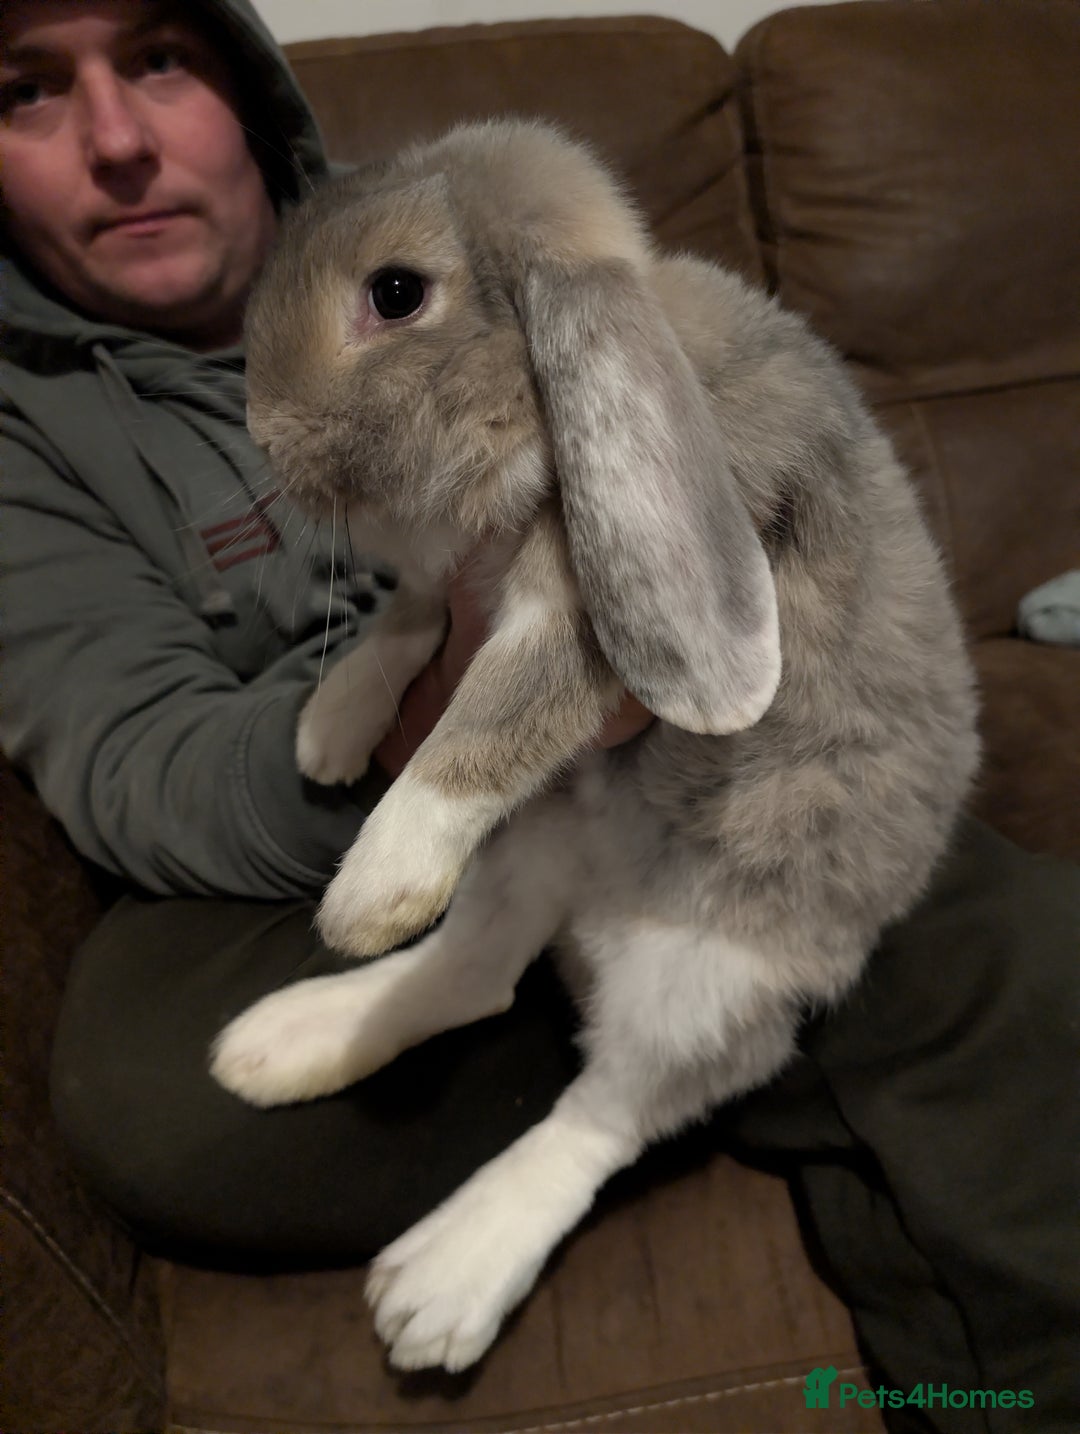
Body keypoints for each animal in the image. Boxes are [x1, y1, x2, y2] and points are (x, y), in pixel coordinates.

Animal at [210, 119, 980, 1374]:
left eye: (395, 293)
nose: (266, 434)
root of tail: (598, 916)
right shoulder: (448, 586)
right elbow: (410, 616)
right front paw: (331, 726)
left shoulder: (578, 619)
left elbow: (492, 712)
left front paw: (370, 887)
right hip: (538, 842)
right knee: (474, 976)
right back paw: (290, 1042)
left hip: (704, 980)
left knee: (611, 1113)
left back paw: (441, 1284)